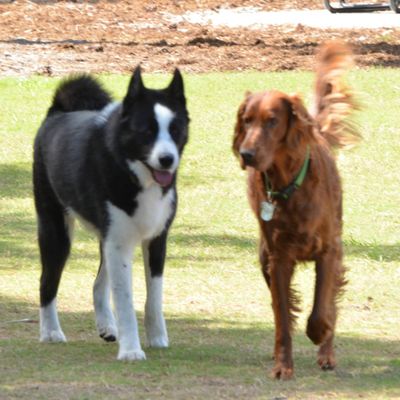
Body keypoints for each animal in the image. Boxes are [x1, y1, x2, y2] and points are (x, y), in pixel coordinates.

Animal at [33, 66, 189, 360]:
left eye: (175, 129)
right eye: (147, 131)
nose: (167, 159)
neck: (134, 173)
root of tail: (57, 113)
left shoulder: (155, 240)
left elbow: (154, 298)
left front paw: (157, 338)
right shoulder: (119, 243)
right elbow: (125, 301)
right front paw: (131, 350)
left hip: (106, 238)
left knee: (97, 284)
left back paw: (106, 325)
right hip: (55, 231)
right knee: (47, 281)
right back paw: (50, 332)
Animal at [232, 42, 360, 379]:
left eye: (272, 120)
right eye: (247, 120)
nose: (246, 154)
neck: (289, 185)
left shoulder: (328, 251)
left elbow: (321, 309)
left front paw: (320, 334)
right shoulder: (278, 259)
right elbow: (282, 317)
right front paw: (282, 365)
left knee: (330, 304)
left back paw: (327, 353)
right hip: (263, 256)